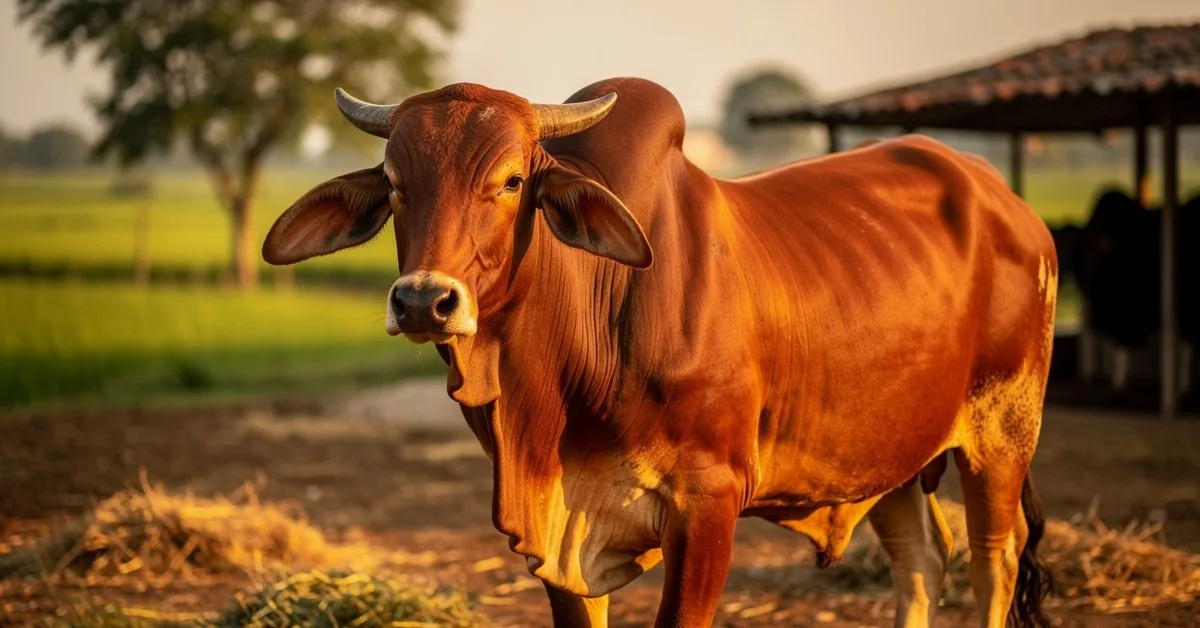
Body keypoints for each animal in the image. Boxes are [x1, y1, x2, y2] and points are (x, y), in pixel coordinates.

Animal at [261, 78, 1057, 628]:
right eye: (395, 185)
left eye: (512, 180)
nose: (425, 301)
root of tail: (1005, 198)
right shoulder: (559, 537)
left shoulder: (708, 505)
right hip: (889, 454)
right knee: (920, 561)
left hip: (1001, 435)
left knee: (993, 562)